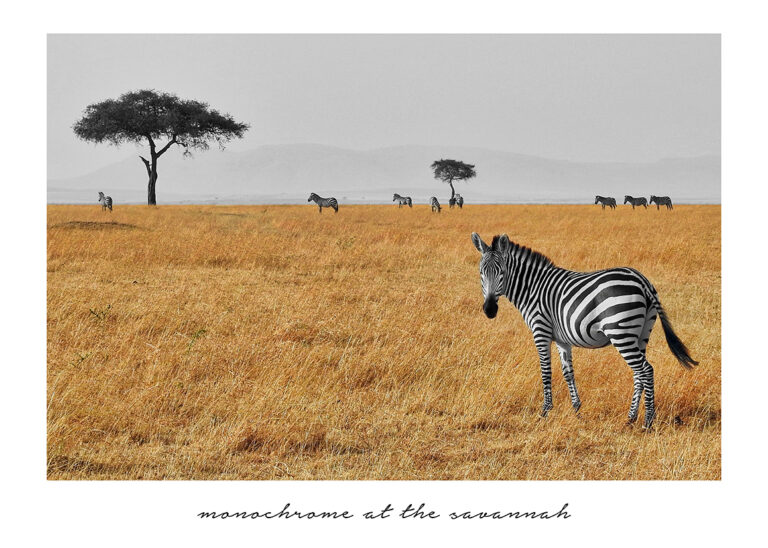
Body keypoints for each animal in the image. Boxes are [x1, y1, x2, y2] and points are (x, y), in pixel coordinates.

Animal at [471, 232, 697, 429]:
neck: (532, 288)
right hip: (641, 333)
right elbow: (568, 373)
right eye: (481, 273)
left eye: (502, 272)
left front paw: (545, 411)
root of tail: (643, 281)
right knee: (638, 373)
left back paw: (647, 421)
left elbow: (546, 371)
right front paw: (576, 410)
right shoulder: (562, 339)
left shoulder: (541, 330)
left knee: (646, 370)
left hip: (621, 331)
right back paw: (631, 418)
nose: (489, 310)